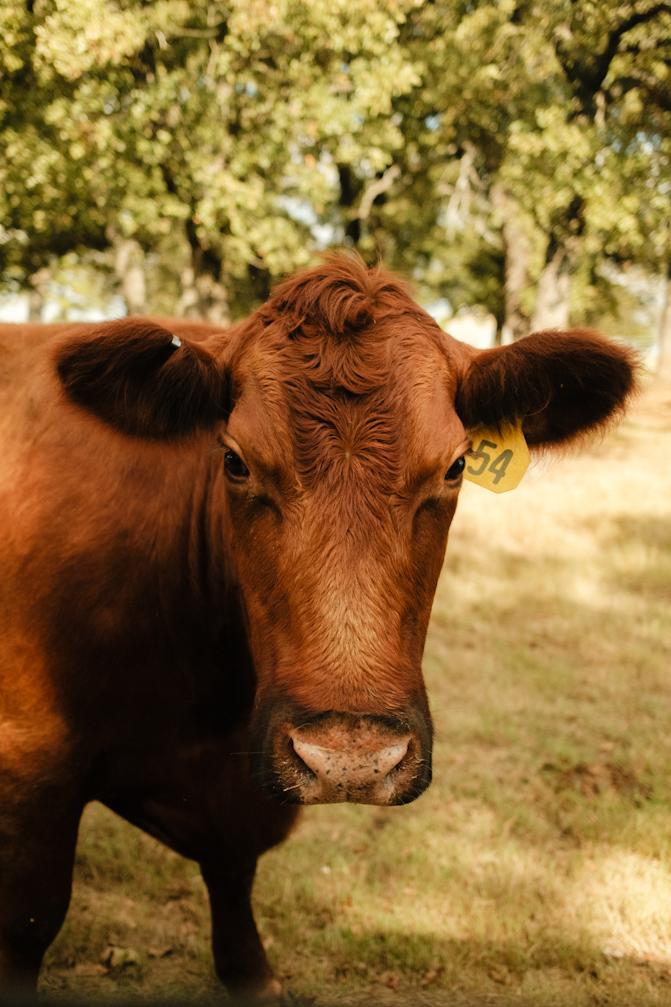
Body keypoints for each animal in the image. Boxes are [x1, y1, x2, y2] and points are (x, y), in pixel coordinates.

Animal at [0, 254, 636, 1001]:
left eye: (454, 466)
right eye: (235, 460)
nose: (349, 758)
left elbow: (234, 872)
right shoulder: (32, 770)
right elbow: (32, 918)